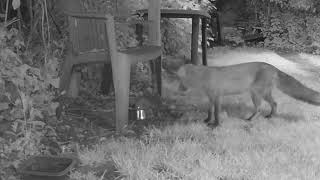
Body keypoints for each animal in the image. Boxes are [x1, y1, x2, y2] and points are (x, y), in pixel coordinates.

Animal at [176, 62, 320, 127]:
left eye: (179, 80)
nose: (178, 90)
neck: (205, 77)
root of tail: (273, 67)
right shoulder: (211, 98)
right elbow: (210, 111)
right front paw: (207, 120)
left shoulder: (217, 97)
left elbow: (216, 113)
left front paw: (215, 125)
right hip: (264, 94)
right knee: (274, 104)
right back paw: (270, 116)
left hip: (256, 94)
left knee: (259, 108)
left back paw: (250, 120)